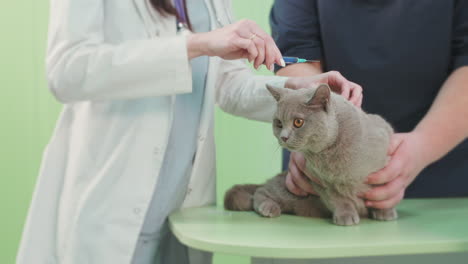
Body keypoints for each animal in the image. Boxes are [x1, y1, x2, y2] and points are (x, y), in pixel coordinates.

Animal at [223, 83, 394, 226]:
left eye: (298, 122)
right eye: (279, 123)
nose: (283, 137)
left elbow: (382, 192)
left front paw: (385, 212)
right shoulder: (321, 181)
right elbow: (339, 199)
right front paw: (346, 215)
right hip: (289, 191)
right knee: (261, 191)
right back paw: (268, 207)